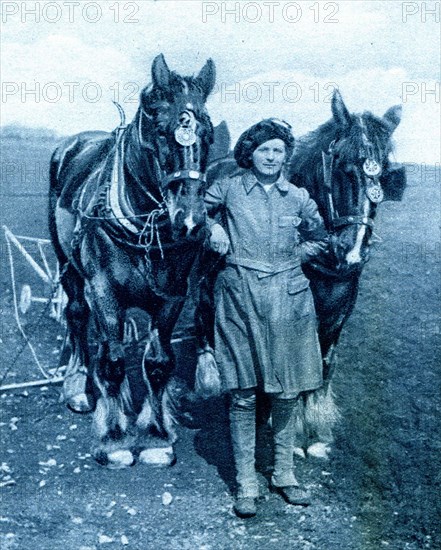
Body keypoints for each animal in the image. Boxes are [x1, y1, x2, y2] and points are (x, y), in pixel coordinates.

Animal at [49, 55, 216, 470]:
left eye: (208, 135)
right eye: (161, 131)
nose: (191, 221)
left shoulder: (172, 297)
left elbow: (157, 362)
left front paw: (156, 438)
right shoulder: (104, 292)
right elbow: (111, 361)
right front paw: (113, 441)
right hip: (69, 266)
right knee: (78, 315)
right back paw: (79, 386)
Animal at [194, 91, 404, 462]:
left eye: (385, 173)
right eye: (343, 166)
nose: (352, 251)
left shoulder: (337, 316)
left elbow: (322, 364)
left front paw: (314, 430)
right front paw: (282, 426)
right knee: (203, 312)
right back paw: (209, 372)